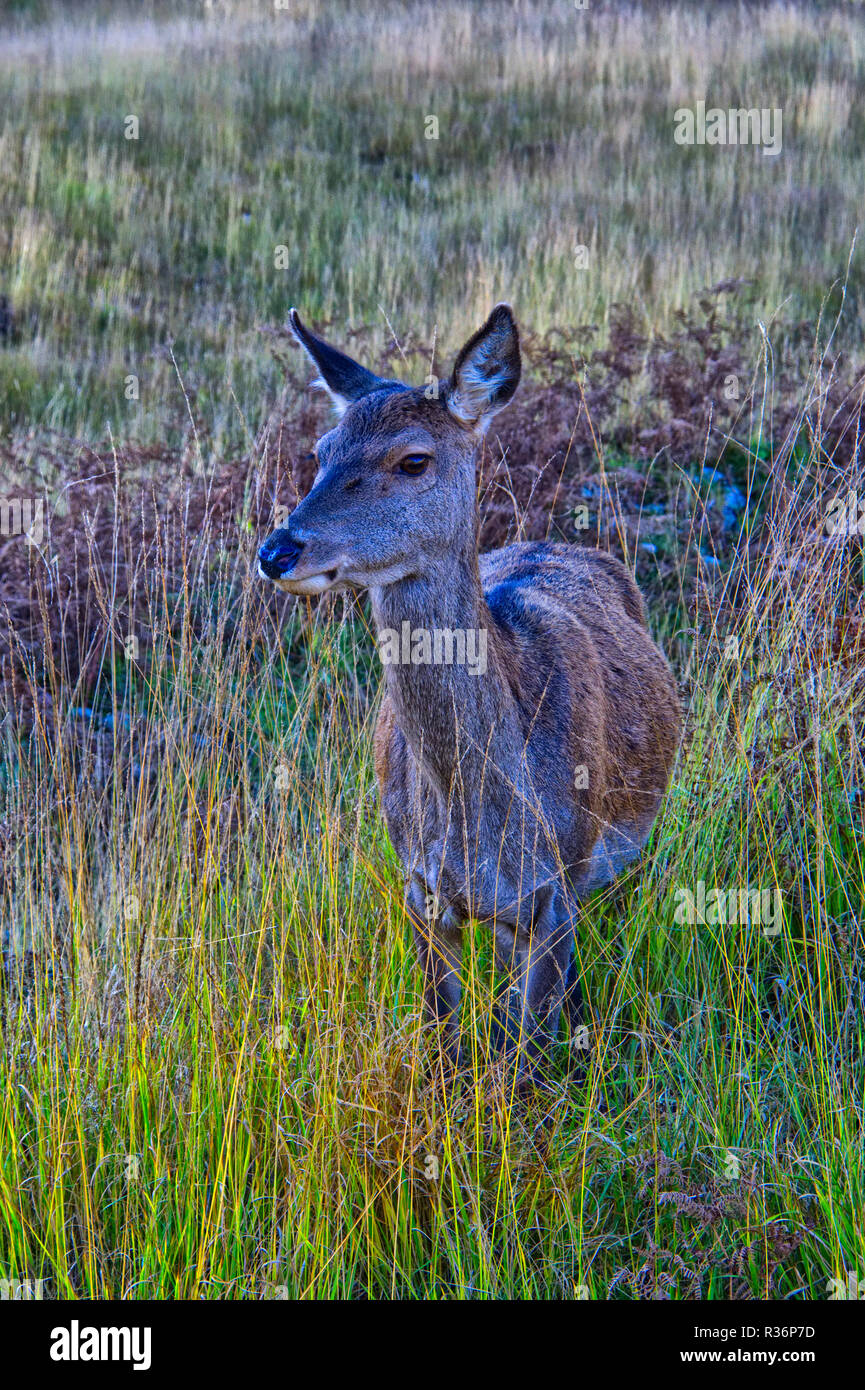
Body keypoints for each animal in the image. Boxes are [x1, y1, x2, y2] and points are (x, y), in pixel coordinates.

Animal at [258, 304, 681, 1085]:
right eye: (323, 449)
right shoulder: (421, 889)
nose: (278, 550)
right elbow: (444, 1043)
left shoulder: (553, 890)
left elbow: (525, 1064)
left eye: (413, 459)